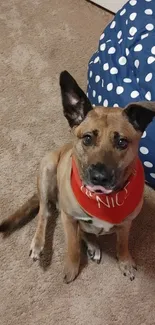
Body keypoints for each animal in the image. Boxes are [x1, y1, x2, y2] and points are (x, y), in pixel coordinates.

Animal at [0, 71, 155, 280]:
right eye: (87, 138)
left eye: (122, 142)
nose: (99, 177)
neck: (103, 200)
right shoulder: (68, 218)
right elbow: (72, 246)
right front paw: (72, 268)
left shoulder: (126, 224)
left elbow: (122, 243)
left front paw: (125, 261)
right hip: (48, 168)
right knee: (44, 212)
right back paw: (39, 243)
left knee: (80, 230)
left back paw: (93, 245)